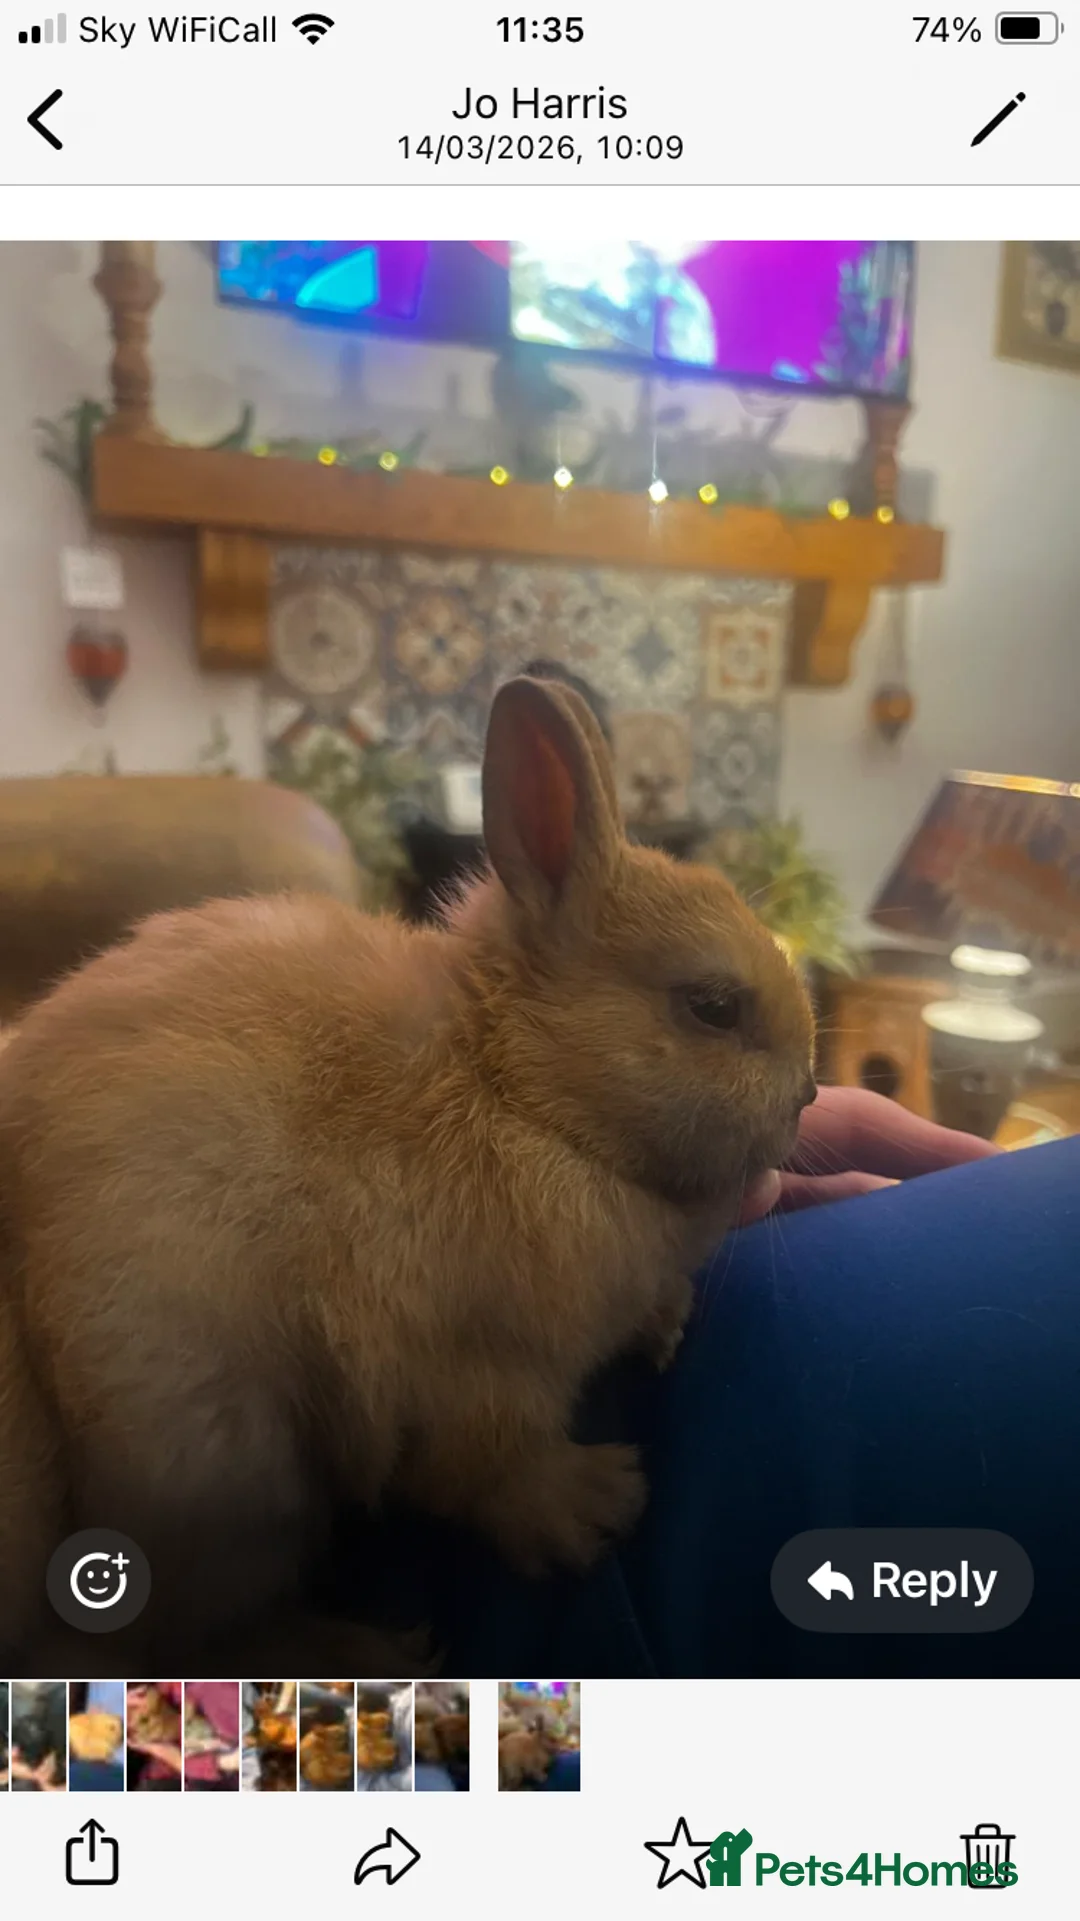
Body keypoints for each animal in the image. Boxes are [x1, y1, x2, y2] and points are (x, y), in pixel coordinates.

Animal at [0, 674, 815, 1674]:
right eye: (713, 1006)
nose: (811, 1092)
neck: (519, 1092)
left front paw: (664, 1327)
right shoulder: (463, 1377)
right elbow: (491, 1471)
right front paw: (597, 1506)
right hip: (223, 1462)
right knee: (198, 1629)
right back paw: (372, 1651)